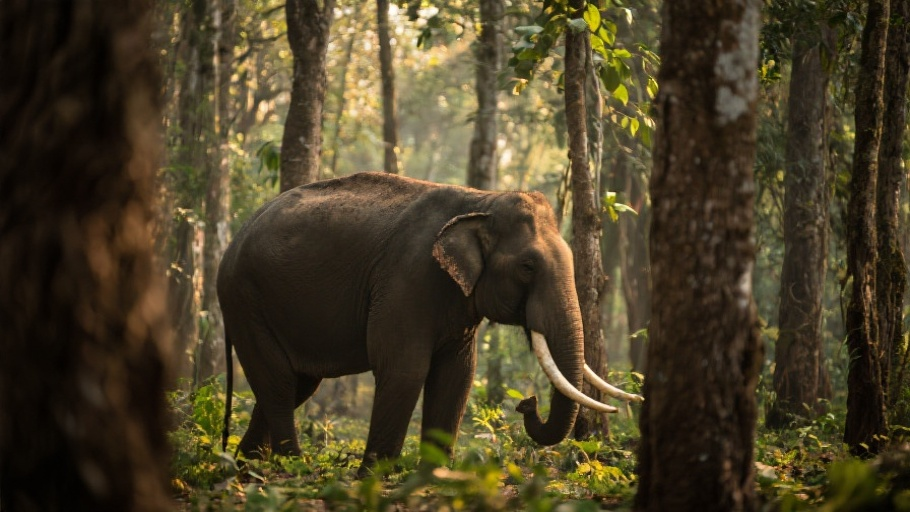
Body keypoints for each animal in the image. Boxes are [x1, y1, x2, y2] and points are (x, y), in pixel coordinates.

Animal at [218, 172, 641, 474]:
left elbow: (457, 375)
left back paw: (244, 467)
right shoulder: (407, 279)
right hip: (245, 299)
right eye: (527, 266)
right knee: (279, 382)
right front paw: (374, 478)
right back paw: (291, 469)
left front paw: (435, 476)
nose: (527, 402)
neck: (481, 200)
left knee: (296, 384)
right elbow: (405, 369)